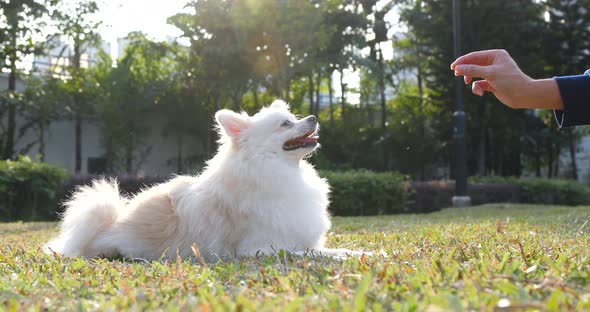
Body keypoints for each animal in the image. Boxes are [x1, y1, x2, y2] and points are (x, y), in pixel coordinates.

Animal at [45, 100, 366, 260]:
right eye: (286, 123)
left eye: (294, 117)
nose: (313, 117)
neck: (281, 171)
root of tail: (110, 224)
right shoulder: (260, 249)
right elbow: (310, 254)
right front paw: (342, 258)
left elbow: (326, 250)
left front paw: (359, 251)